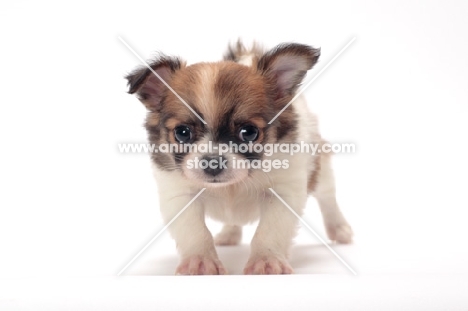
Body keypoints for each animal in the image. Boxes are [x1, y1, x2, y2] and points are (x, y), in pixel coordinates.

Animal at [124, 40, 352, 276]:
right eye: (182, 133)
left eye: (249, 132)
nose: (212, 162)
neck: (232, 186)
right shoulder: (180, 195)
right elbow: (195, 231)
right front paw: (200, 261)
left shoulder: (283, 193)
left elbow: (269, 230)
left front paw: (267, 260)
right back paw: (228, 234)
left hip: (321, 170)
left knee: (328, 198)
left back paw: (339, 229)